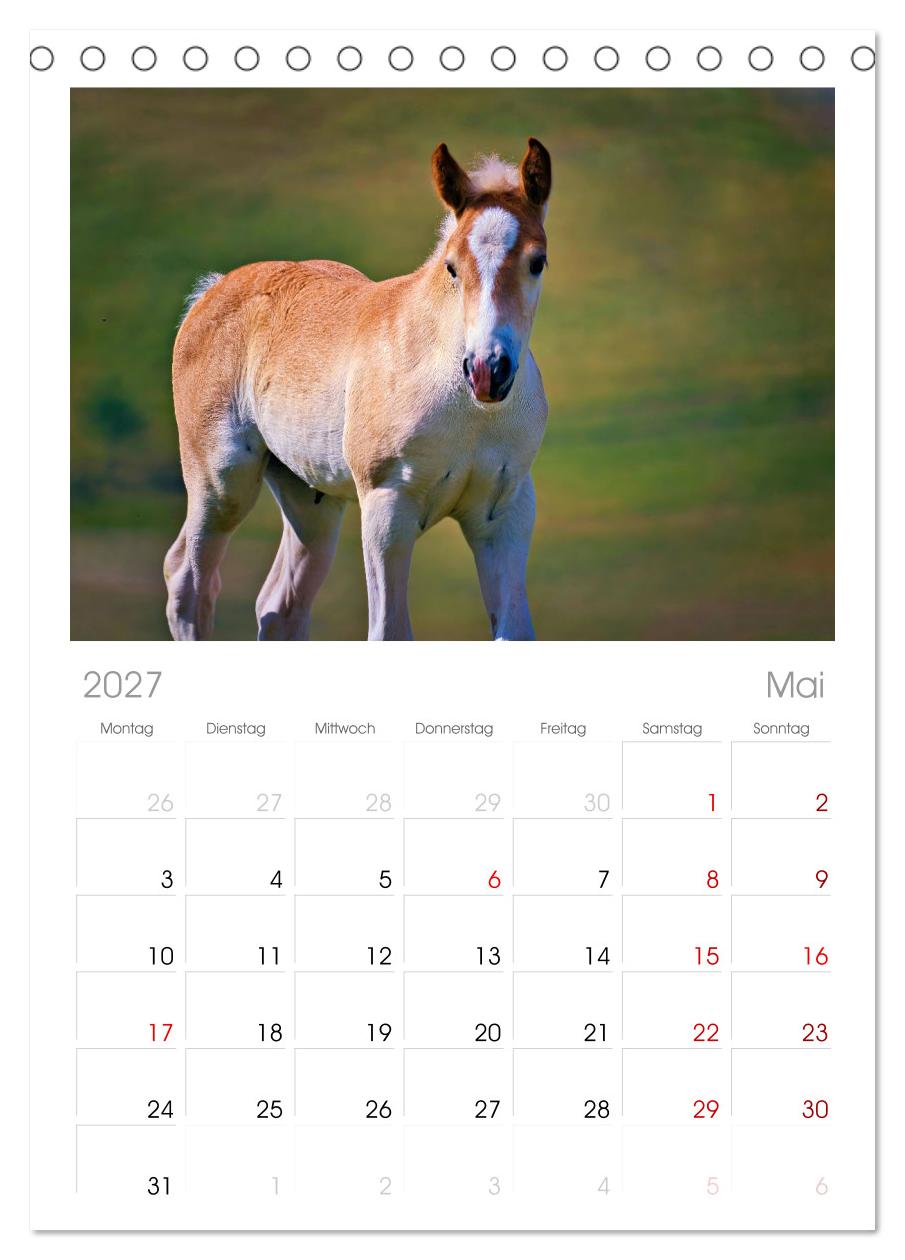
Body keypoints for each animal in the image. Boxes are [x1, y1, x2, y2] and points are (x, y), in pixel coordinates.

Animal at [164, 137, 552, 641]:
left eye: (537, 262)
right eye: (452, 266)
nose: (488, 370)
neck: (467, 410)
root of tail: (210, 292)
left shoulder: (504, 513)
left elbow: (514, 630)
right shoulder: (387, 507)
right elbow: (388, 631)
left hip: (310, 498)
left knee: (279, 605)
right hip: (220, 482)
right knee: (188, 581)